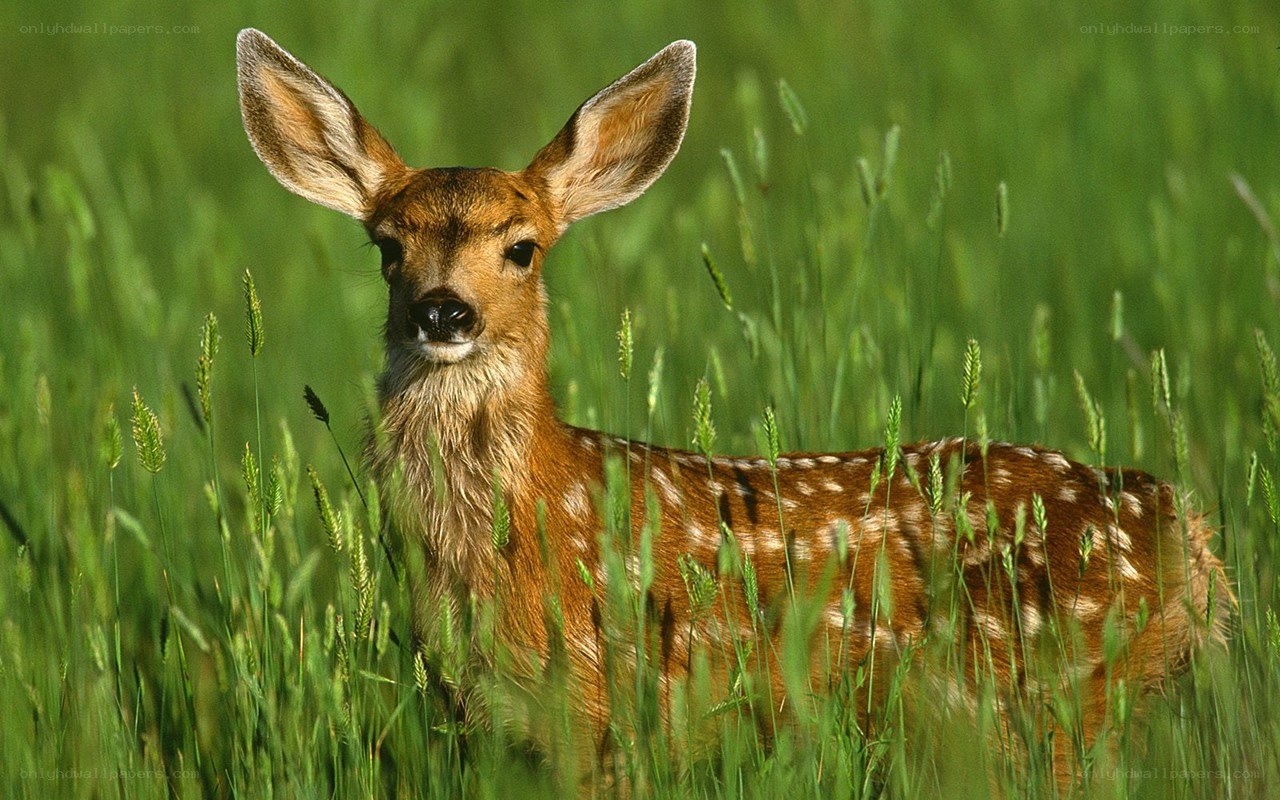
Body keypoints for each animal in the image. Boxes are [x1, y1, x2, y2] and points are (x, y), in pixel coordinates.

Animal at [236, 29, 1231, 782]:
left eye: (521, 247)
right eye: (386, 247)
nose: (444, 312)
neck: (527, 520)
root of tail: (1183, 529)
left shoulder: (606, 707)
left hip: (1049, 694)